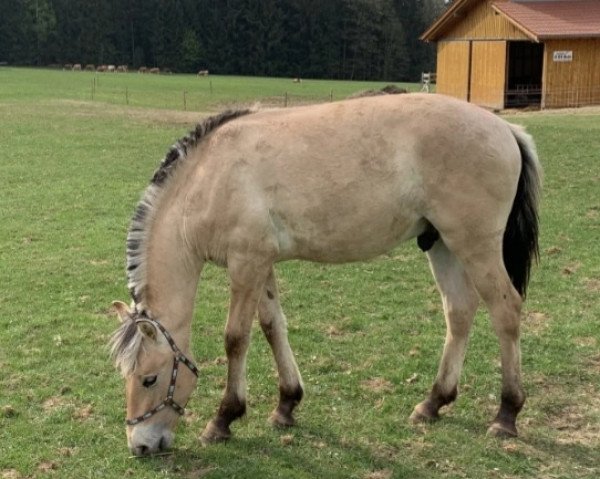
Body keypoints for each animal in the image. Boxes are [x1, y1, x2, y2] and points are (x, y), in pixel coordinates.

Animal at [110, 94, 540, 458]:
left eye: (149, 379)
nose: (140, 446)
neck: (209, 178)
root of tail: (505, 129)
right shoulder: (262, 264)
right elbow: (273, 327)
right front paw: (286, 404)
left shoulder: (246, 264)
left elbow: (236, 339)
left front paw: (224, 418)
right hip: (443, 245)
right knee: (459, 312)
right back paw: (434, 402)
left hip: (475, 246)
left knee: (505, 311)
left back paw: (506, 414)